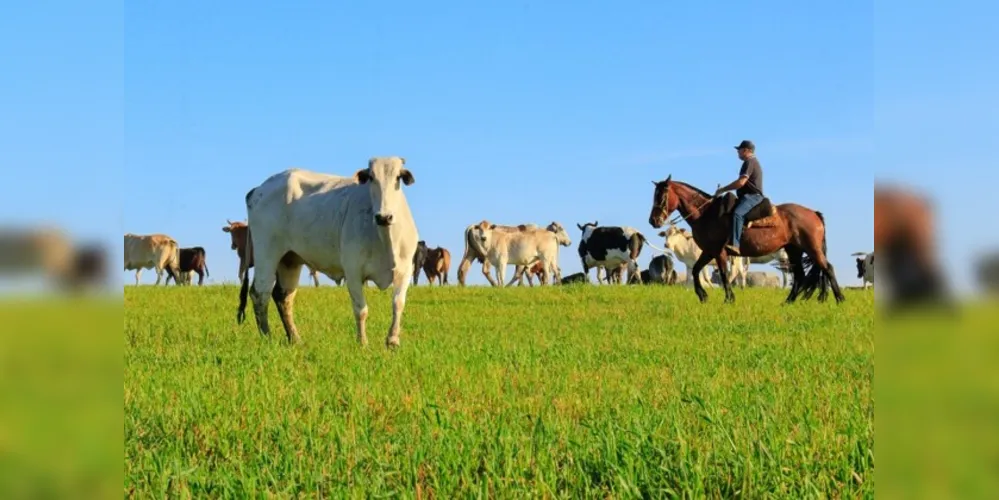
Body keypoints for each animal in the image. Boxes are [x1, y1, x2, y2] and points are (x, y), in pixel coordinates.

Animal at [648, 174, 844, 302]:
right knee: (800, 275)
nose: (653, 221)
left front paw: (728, 299)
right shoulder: (709, 251)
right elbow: (697, 271)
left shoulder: (719, 252)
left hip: (811, 248)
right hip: (793, 249)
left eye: (662, 196)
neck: (706, 214)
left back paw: (840, 299)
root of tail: (814, 213)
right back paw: (788, 301)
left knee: (827, 268)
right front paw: (703, 295)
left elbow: (724, 274)